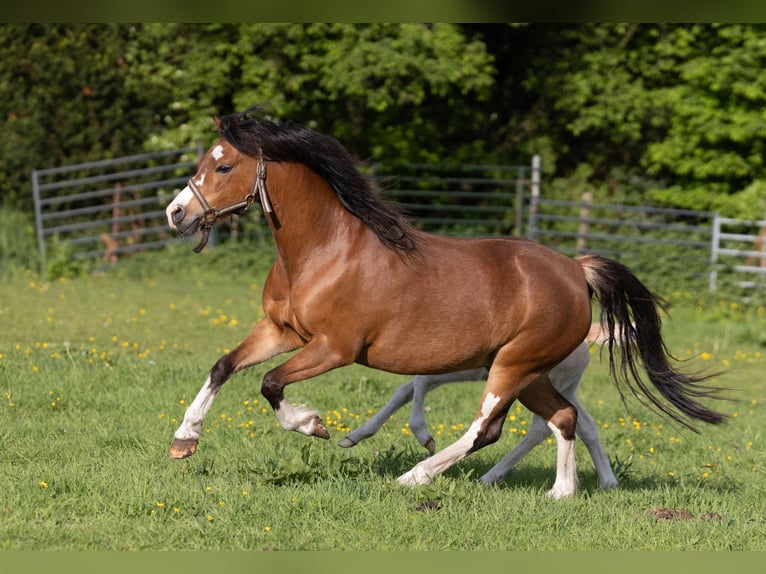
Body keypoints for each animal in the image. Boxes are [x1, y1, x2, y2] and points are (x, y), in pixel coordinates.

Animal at [165, 108, 728, 500]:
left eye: (223, 165)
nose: (176, 213)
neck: (325, 250)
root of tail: (576, 270)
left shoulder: (334, 348)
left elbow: (270, 383)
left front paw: (315, 425)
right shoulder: (281, 331)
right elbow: (223, 367)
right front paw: (184, 439)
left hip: (513, 366)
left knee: (488, 428)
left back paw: (415, 477)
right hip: (530, 371)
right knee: (564, 418)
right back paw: (560, 492)